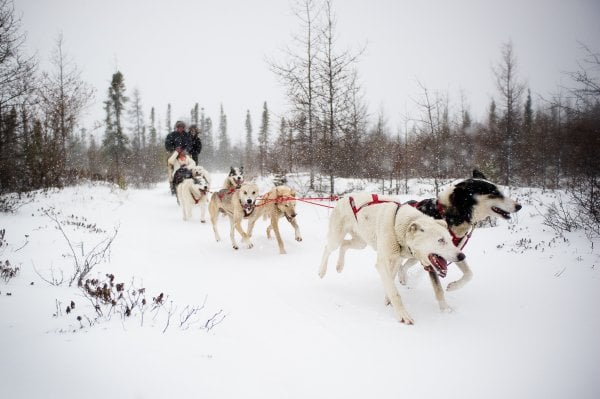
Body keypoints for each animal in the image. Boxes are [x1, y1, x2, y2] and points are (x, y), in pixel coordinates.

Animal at [316, 193, 466, 324]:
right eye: (441, 240)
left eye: (450, 240)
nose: (462, 255)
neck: (397, 226)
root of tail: (344, 197)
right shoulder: (383, 263)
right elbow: (395, 292)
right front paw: (402, 314)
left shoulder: (396, 260)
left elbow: (391, 281)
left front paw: (387, 300)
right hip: (336, 238)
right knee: (328, 248)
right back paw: (322, 271)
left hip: (360, 243)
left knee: (344, 245)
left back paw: (339, 266)